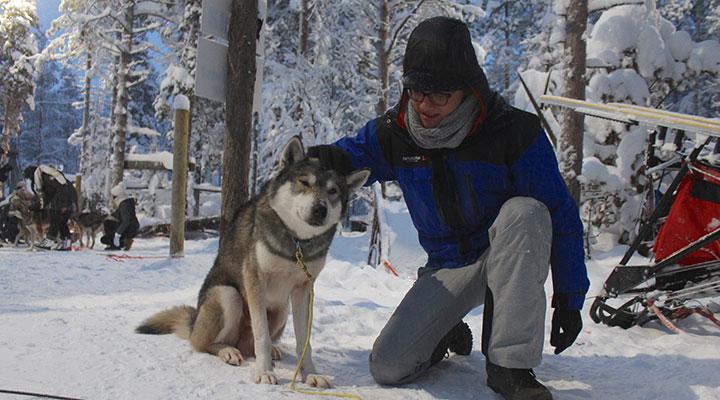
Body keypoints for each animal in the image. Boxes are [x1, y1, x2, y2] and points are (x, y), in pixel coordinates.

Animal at [136, 138, 372, 388]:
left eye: (333, 191)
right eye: (304, 182)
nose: (320, 209)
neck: (296, 242)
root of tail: (194, 322)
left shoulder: (303, 289)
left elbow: (304, 342)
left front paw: (310, 374)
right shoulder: (255, 280)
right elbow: (262, 337)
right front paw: (265, 372)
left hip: (282, 309)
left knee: (250, 346)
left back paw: (273, 352)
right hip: (229, 296)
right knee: (204, 344)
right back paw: (228, 351)